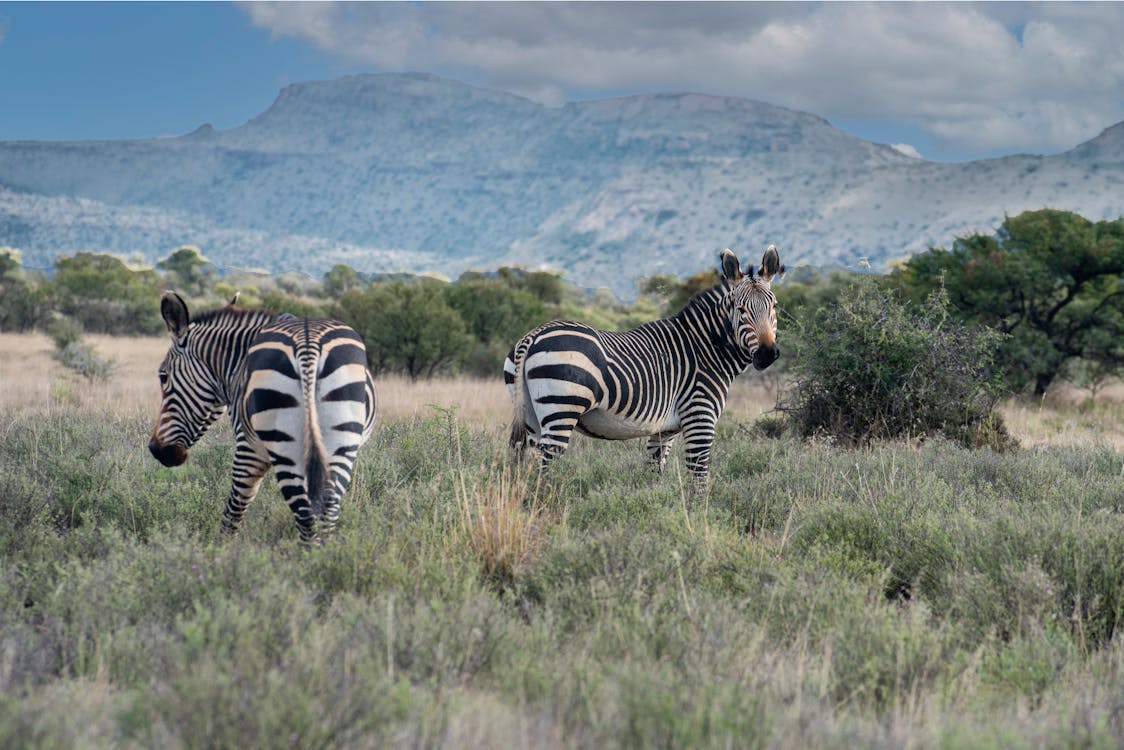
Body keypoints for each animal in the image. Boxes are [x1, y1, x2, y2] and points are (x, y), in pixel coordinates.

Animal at [147, 290, 377, 541]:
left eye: (162, 376)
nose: (155, 449)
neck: (237, 362)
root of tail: (308, 348)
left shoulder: (248, 449)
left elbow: (233, 511)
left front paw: (219, 549)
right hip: (341, 444)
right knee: (327, 513)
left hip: (284, 448)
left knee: (305, 517)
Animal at [505, 246, 786, 488]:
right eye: (741, 309)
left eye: (774, 306)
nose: (767, 354)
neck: (706, 347)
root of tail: (532, 337)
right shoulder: (700, 418)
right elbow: (699, 479)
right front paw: (701, 513)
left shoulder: (664, 431)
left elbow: (654, 474)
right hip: (561, 409)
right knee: (544, 468)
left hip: (530, 416)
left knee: (526, 468)